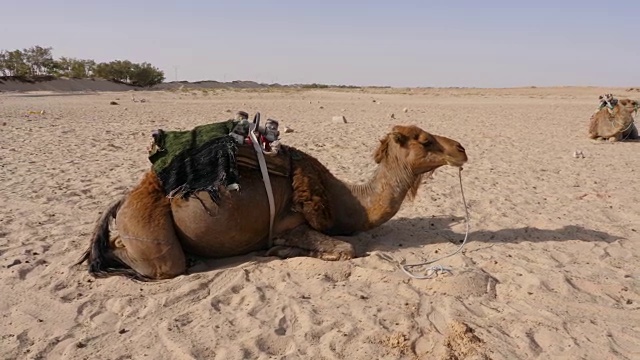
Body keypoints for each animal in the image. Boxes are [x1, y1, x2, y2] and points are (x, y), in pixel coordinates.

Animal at [77, 124, 468, 282]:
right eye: (425, 141)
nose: (461, 149)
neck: (347, 201)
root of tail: (124, 199)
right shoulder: (292, 221)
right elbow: (346, 249)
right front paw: (280, 250)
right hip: (149, 231)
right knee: (157, 262)